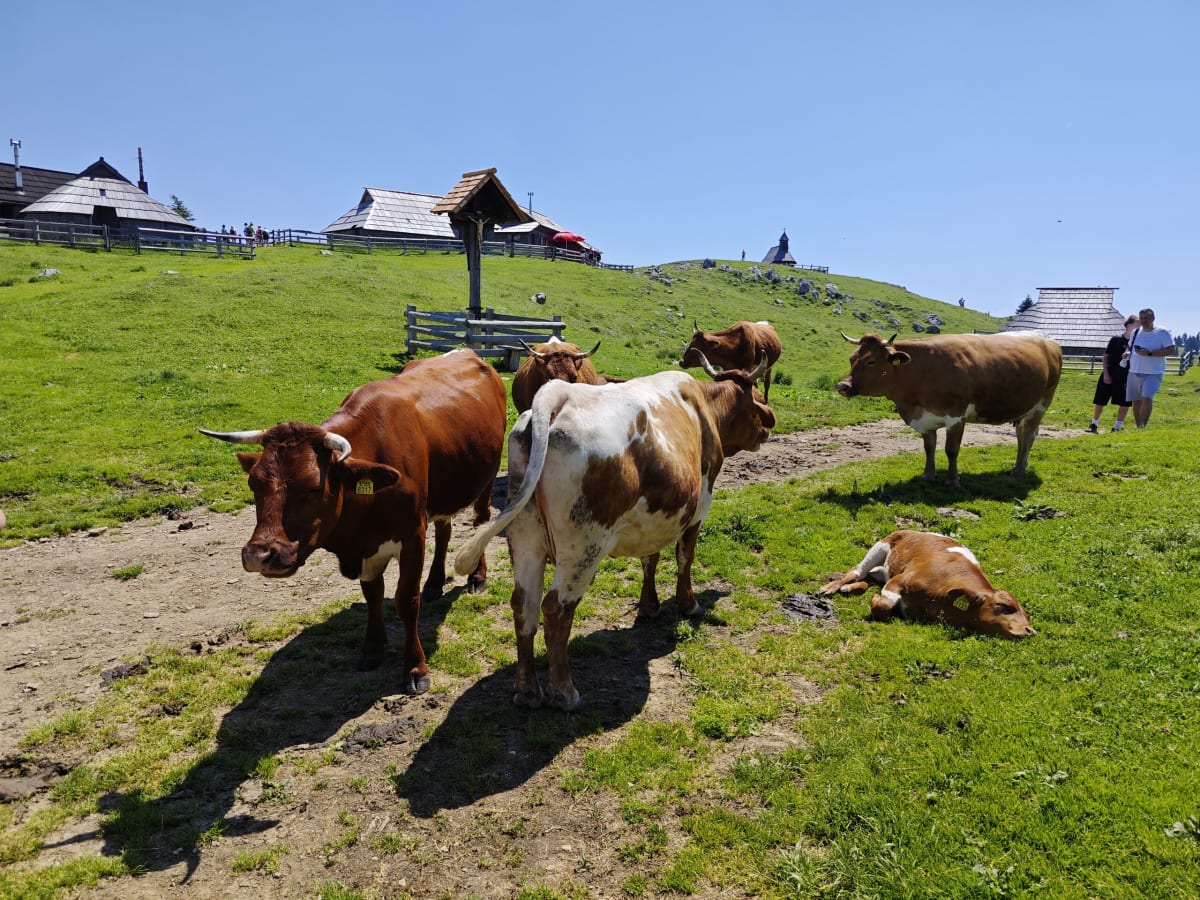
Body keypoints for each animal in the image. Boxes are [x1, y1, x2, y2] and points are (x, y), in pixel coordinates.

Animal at [200, 349, 507, 695]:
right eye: (254, 484)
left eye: (313, 485)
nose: (258, 555)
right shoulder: (366, 547)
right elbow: (372, 595)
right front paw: (373, 649)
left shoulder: (412, 535)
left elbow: (406, 601)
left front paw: (415, 668)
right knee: (445, 530)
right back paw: (434, 582)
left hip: (486, 480)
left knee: (481, 523)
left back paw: (477, 577)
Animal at [453, 355, 776, 711]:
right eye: (755, 398)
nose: (766, 430)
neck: (704, 407)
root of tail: (558, 395)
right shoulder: (700, 504)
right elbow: (684, 557)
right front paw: (688, 604)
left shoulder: (655, 519)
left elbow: (650, 558)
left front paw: (649, 606)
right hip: (583, 547)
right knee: (556, 608)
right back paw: (565, 692)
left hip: (525, 538)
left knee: (524, 604)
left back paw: (527, 691)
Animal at [818, 530, 1036, 639]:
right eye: (1003, 605)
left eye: (1027, 616)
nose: (1030, 630)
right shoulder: (898, 581)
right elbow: (883, 606)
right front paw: (875, 600)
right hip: (878, 548)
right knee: (857, 571)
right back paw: (831, 587)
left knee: (870, 576)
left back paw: (851, 588)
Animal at [836, 331, 1062, 486]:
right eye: (851, 359)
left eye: (871, 361)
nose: (842, 386)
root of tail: (1048, 340)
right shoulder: (925, 418)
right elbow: (929, 448)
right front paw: (928, 475)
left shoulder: (956, 415)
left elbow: (951, 450)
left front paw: (953, 480)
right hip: (1025, 407)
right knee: (1021, 435)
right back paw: (1018, 466)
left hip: (1041, 404)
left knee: (1030, 435)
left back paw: (1019, 469)